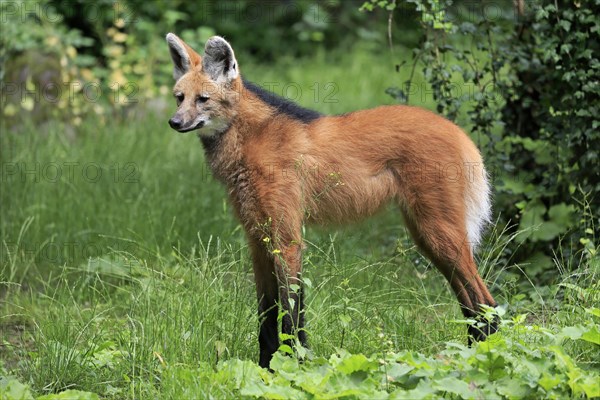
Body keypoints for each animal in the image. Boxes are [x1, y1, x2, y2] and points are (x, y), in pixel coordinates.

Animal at [166, 33, 500, 368]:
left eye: (203, 99)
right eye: (179, 97)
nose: (174, 122)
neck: (250, 139)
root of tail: (457, 131)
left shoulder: (287, 238)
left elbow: (291, 313)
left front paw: (296, 365)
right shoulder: (258, 239)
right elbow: (266, 315)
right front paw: (265, 368)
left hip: (437, 232)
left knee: (487, 305)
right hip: (427, 237)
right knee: (471, 305)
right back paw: (467, 358)